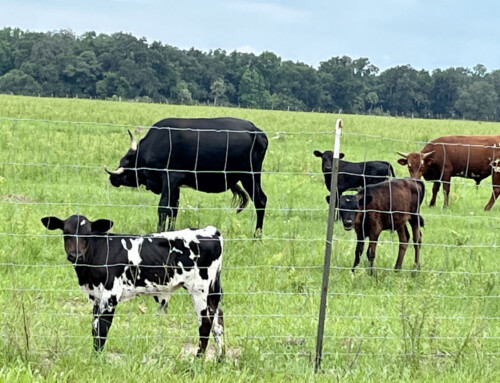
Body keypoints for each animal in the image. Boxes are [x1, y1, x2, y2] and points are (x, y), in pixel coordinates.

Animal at [41, 216, 225, 356]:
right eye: (66, 232)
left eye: (88, 234)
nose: (75, 255)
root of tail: (210, 231)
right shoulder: (96, 298)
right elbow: (94, 329)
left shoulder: (110, 296)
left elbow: (102, 329)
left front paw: (97, 360)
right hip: (212, 291)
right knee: (218, 320)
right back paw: (220, 358)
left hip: (199, 289)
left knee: (205, 323)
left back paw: (197, 361)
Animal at [107, 118, 268, 237]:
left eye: (125, 162)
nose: (112, 179)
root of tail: (257, 131)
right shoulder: (176, 185)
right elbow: (174, 208)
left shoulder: (170, 178)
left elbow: (163, 207)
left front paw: (159, 233)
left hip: (250, 176)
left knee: (260, 201)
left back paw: (256, 237)